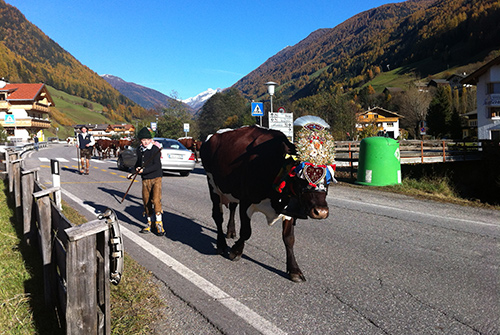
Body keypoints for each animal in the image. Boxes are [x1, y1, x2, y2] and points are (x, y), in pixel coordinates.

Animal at [199, 126, 332, 284]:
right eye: (301, 177)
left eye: (329, 179)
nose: (321, 211)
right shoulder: (246, 201)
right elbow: (246, 232)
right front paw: (236, 251)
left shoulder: (289, 209)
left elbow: (289, 238)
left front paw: (294, 270)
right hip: (213, 186)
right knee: (218, 216)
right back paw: (221, 244)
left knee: (231, 207)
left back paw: (231, 232)